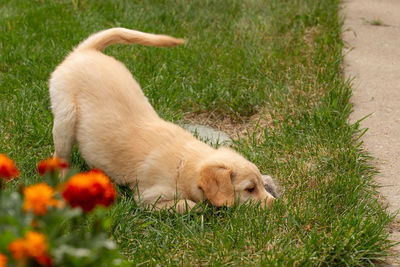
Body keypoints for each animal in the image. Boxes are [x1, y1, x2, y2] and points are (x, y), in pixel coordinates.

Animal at [49, 28, 276, 214]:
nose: (276, 205)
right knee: (60, 155)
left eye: (258, 186)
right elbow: (189, 205)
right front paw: (199, 207)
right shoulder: (147, 197)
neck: (186, 164)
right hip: (65, 117)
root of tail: (83, 52)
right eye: (249, 189)